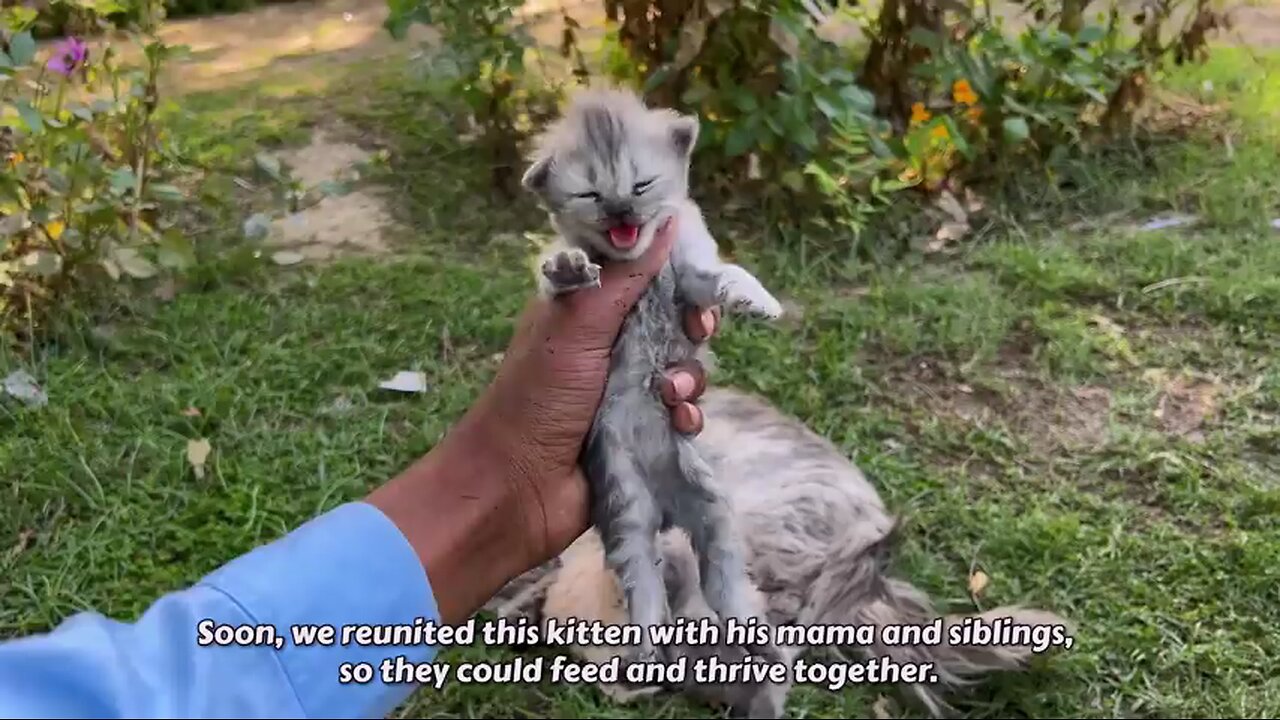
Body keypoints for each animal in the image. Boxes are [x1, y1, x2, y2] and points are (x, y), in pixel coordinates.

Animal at [517, 85, 778, 661]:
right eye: (592, 194)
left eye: (641, 185)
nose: (622, 210)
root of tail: (665, 510)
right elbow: (559, 274)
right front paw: (566, 266)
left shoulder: (692, 273)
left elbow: (718, 275)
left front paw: (756, 297)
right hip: (623, 499)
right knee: (642, 579)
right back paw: (645, 644)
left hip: (710, 501)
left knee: (722, 572)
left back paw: (749, 628)